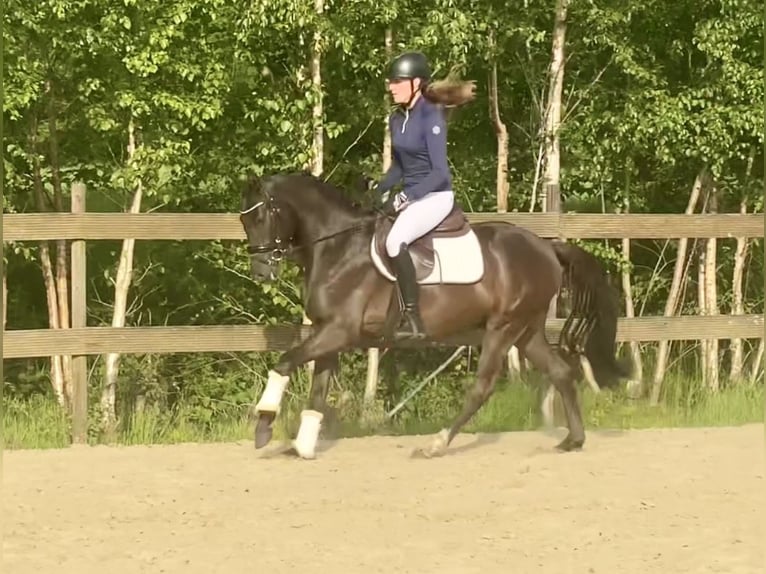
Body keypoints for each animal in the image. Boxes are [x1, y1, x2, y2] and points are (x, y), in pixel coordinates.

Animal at [238, 172, 630, 459]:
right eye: (244, 221)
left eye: (260, 216)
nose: (261, 271)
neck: (339, 248)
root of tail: (547, 247)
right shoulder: (328, 333)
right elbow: (317, 391)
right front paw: (303, 446)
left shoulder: (339, 331)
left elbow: (285, 362)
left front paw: (264, 425)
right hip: (527, 330)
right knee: (561, 372)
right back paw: (573, 440)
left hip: (503, 327)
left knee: (482, 387)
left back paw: (437, 443)